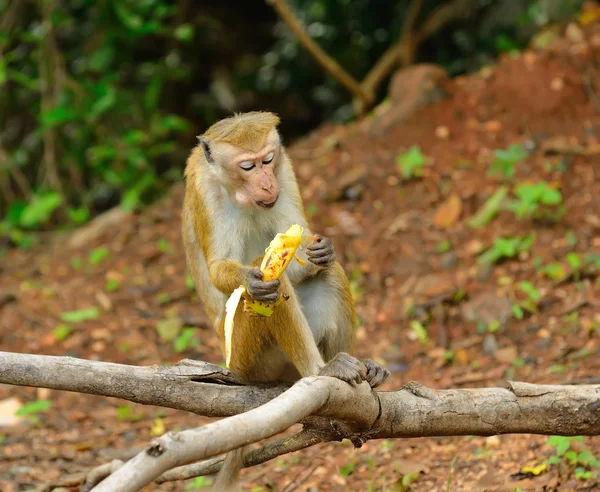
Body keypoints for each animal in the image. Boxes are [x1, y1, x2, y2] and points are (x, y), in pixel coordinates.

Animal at [180, 109, 392, 490]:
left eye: (268, 160)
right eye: (248, 166)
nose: (267, 184)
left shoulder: (286, 168)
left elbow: (302, 236)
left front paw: (322, 248)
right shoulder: (205, 191)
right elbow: (222, 268)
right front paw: (250, 279)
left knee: (329, 274)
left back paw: (358, 370)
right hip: (249, 360)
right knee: (273, 290)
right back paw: (322, 370)